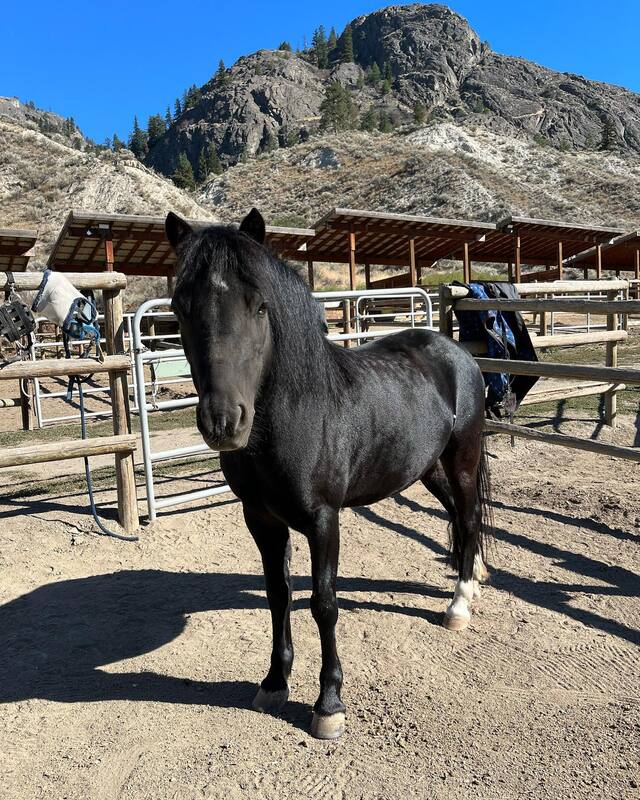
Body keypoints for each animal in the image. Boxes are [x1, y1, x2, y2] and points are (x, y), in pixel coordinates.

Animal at [165, 209, 493, 740]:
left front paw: (328, 705)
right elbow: (278, 595)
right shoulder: (261, 520)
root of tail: (454, 351)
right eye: (179, 308)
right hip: (427, 468)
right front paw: (274, 683)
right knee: (460, 519)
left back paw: (460, 604)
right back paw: (477, 574)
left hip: (462, 456)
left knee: (466, 517)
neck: (297, 412)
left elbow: (323, 603)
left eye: (260, 306)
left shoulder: (324, 520)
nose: (223, 421)